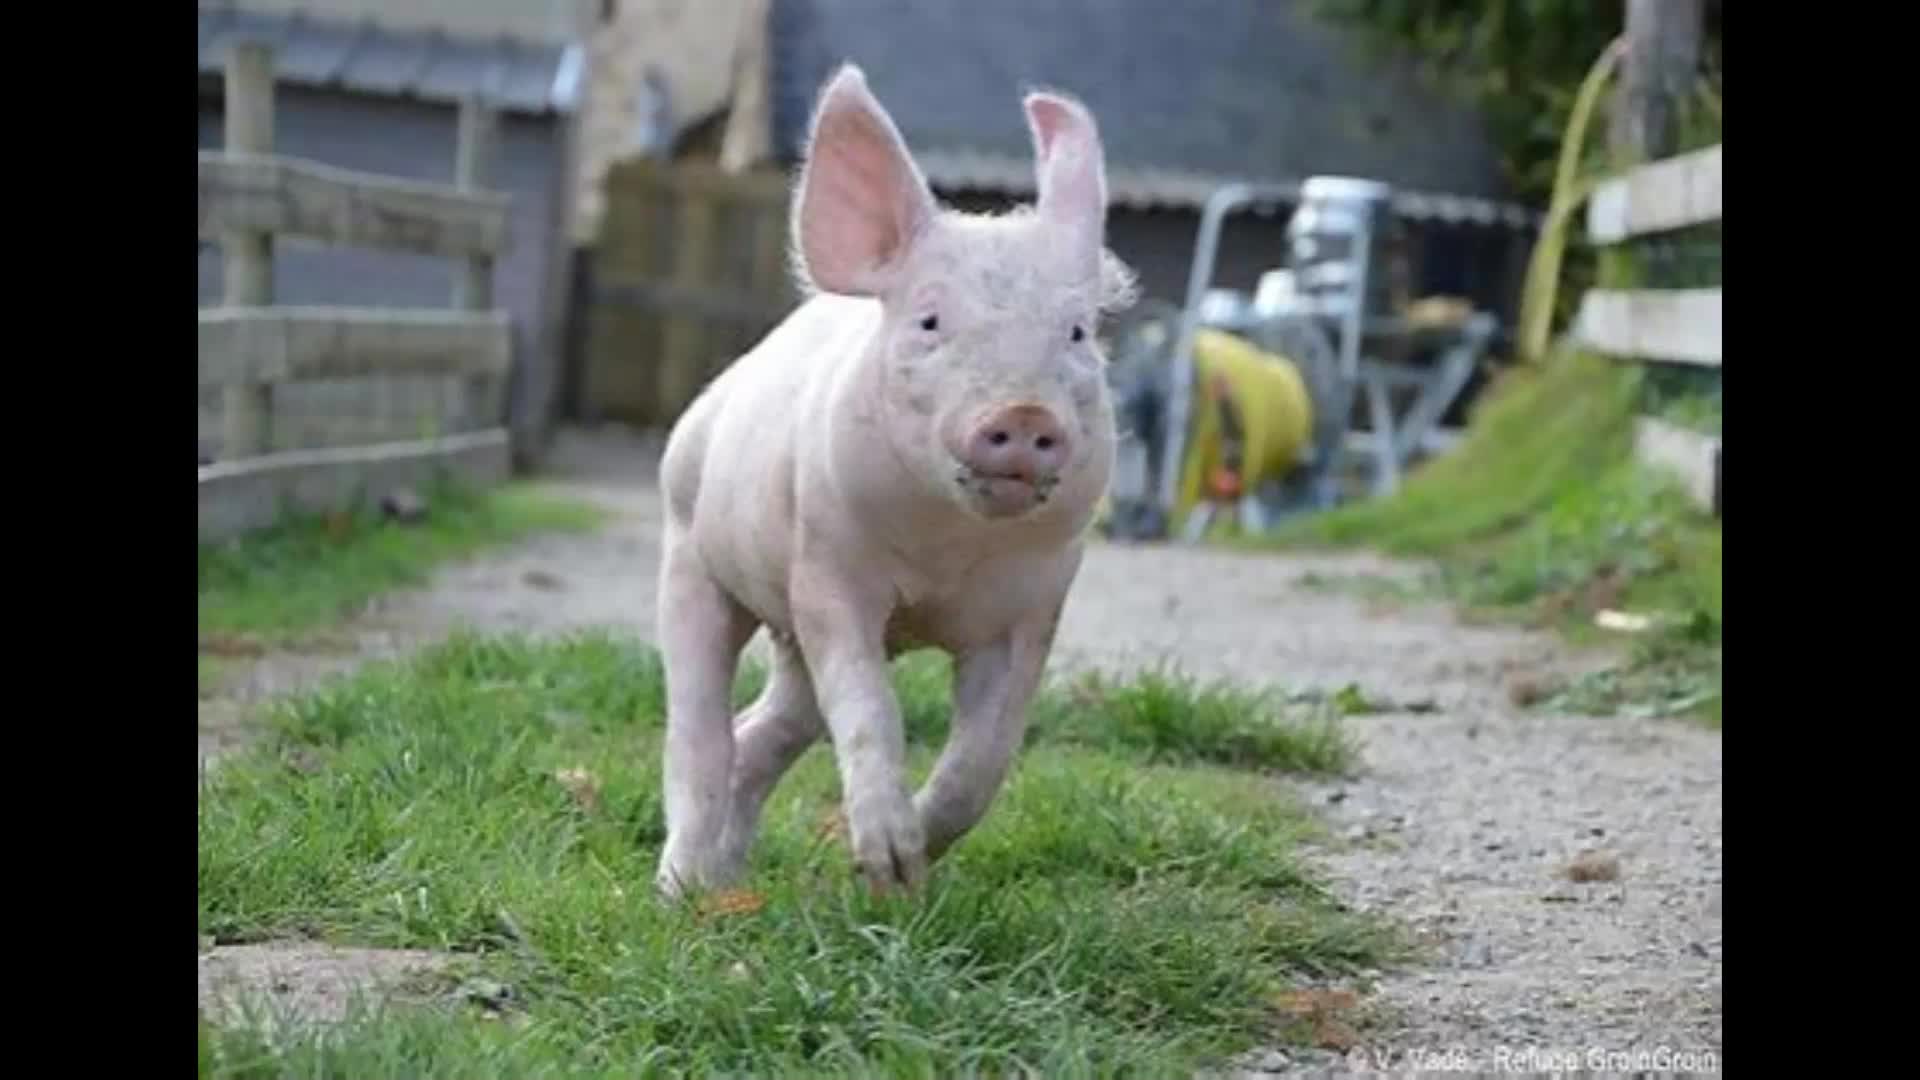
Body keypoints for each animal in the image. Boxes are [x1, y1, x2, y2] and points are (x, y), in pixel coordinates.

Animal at [652, 63, 1138, 899]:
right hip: (689, 549)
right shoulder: (826, 572)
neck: (944, 558)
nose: (1023, 413)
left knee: (765, 730)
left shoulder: (1032, 606)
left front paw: (904, 871)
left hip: (786, 641)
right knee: (699, 733)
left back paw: (728, 880)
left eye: (1076, 333)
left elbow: (985, 758)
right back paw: (680, 888)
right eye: (930, 322)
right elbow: (870, 705)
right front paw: (886, 860)